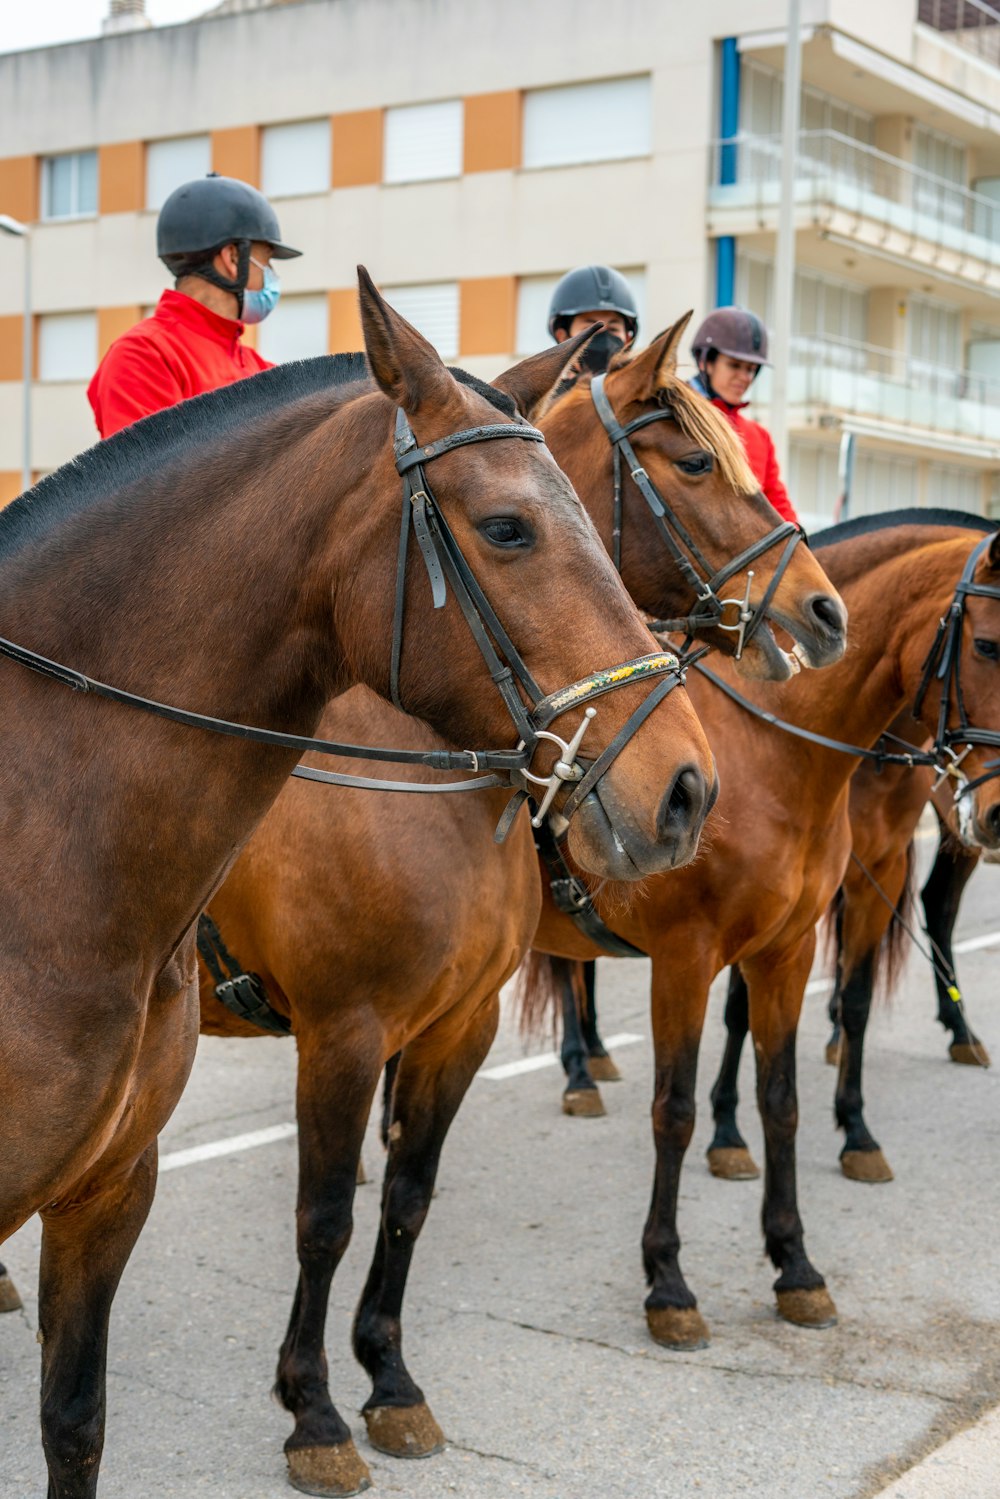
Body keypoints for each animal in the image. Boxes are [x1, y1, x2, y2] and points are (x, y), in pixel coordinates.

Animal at [173, 322, 851, 1493]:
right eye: (695, 461)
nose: (821, 609)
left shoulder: (460, 1024)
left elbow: (407, 1194)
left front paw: (389, 1381)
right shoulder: (343, 1032)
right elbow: (324, 1216)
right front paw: (314, 1411)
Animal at [524, 512, 1000, 1349]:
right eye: (987, 645)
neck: (771, 751)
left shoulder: (789, 948)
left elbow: (782, 1093)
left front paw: (796, 1262)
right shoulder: (684, 959)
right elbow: (674, 1109)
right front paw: (668, 1283)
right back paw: (580, 1071)